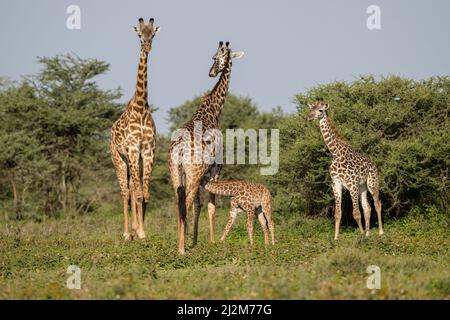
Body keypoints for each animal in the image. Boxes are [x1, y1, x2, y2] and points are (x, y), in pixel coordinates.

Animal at [169, 40, 244, 255]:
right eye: (215, 57)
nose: (212, 72)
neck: (213, 109)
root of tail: (180, 148)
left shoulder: (202, 175)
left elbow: (198, 206)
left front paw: (194, 242)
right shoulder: (215, 169)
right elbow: (211, 205)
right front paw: (211, 242)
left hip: (176, 173)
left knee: (179, 202)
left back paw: (180, 245)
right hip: (193, 174)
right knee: (184, 203)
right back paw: (181, 250)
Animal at [308, 101, 384, 239]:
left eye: (320, 110)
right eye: (311, 109)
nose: (309, 117)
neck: (336, 154)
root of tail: (373, 164)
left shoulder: (352, 184)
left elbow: (356, 213)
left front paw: (360, 235)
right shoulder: (336, 183)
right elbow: (338, 213)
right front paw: (336, 238)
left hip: (372, 183)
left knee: (377, 204)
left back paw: (380, 232)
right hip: (362, 187)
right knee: (367, 208)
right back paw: (368, 234)